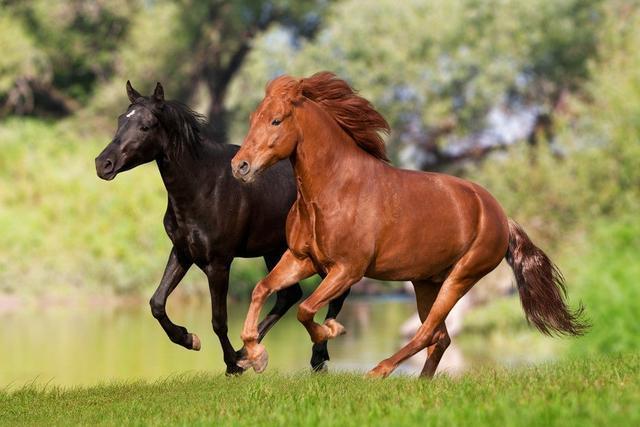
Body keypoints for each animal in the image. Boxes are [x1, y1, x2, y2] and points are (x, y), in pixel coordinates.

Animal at [94, 81, 350, 374]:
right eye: (120, 120)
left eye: (145, 126)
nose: (103, 164)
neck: (204, 186)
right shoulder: (183, 252)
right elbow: (157, 303)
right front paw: (190, 339)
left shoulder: (218, 263)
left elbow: (219, 320)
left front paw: (231, 365)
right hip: (275, 251)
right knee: (290, 295)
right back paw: (251, 354)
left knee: (336, 291)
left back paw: (315, 356)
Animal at [230, 72, 587, 378]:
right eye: (252, 119)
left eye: (276, 120)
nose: (239, 166)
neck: (334, 190)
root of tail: (500, 215)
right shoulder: (302, 259)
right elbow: (262, 289)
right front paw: (255, 356)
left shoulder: (347, 269)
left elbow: (305, 309)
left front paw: (331, 330)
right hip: (426, 282)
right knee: (440, 337)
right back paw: (420, 382)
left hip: (460, 278)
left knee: (427, 332)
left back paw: (378, 372)